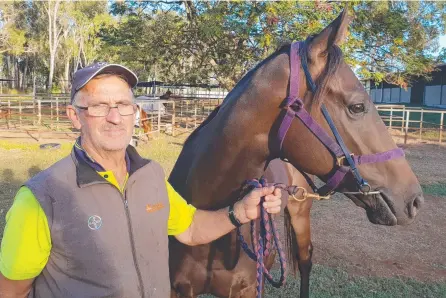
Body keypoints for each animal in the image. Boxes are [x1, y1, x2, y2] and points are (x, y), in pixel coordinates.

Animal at [166, 9, 422, 298]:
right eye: (357, 107)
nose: (414, 200)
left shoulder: (249, 288)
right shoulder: (177, 287)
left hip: (301, 217)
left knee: (305, 261)